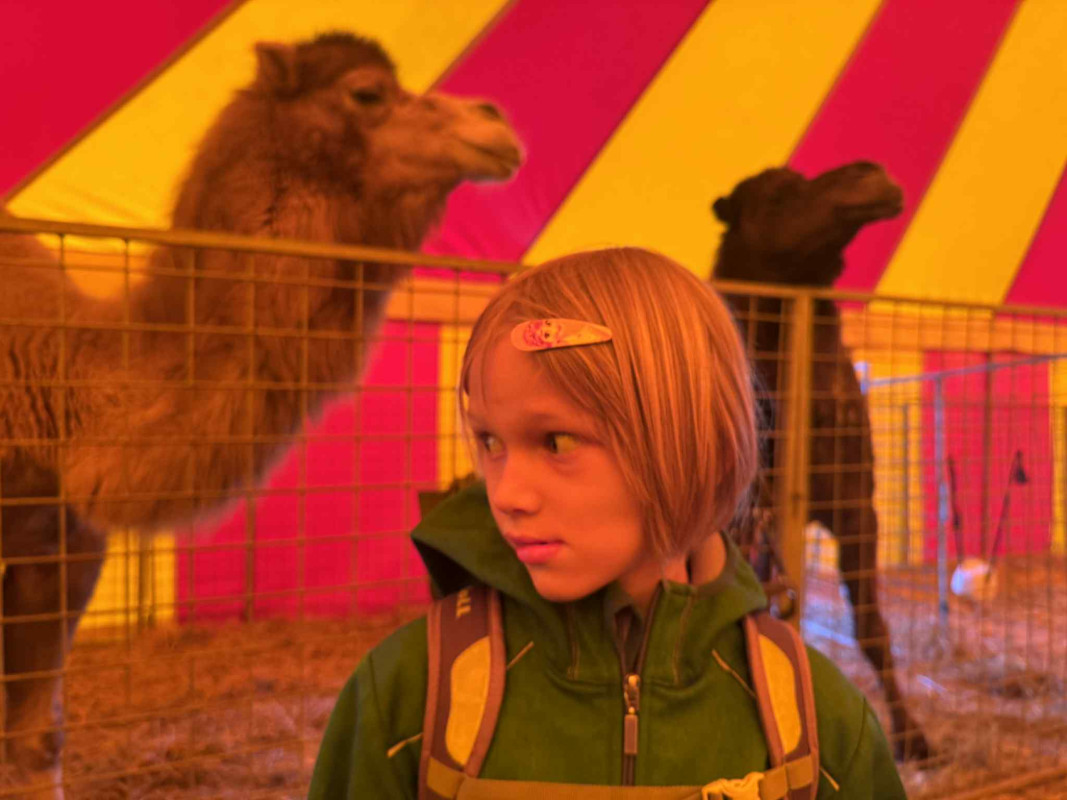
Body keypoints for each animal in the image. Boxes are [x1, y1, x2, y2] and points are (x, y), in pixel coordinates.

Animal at [711, 160, 930, 761]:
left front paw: (913, 738)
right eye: (777, 193)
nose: (872, 175)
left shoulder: (856, 504)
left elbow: (873, 628)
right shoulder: (742, 516)